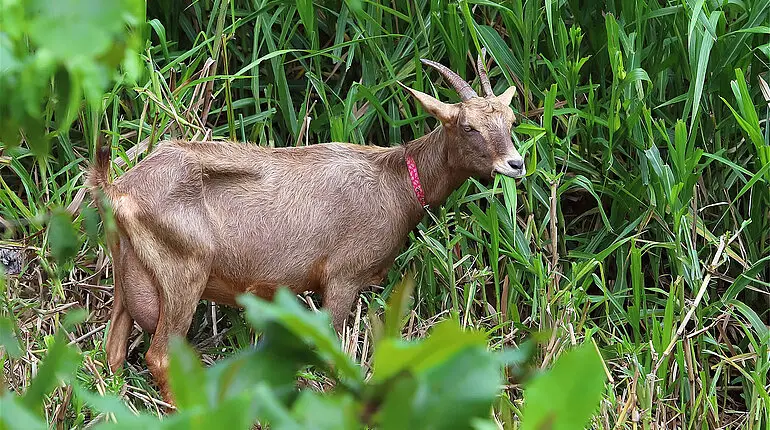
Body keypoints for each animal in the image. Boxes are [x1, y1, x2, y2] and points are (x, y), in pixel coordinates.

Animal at [87, 53, 524, 404]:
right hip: (183, 273)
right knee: (160, 356)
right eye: (468, 126)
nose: (515, 164)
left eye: (511, 120)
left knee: (112, 354)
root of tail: (118, 190)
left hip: (127, 275)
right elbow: (335, 355)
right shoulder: (343, 278)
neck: (395, 181)